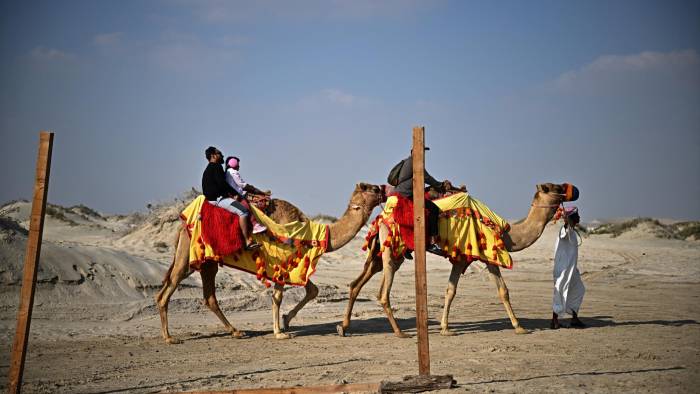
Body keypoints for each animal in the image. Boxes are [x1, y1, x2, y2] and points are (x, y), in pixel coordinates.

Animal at [156, 183, 382, 344]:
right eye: (373, 189)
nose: (383, 187)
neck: (309, 233)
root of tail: (182, 224)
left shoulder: (295, 263)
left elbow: (313, 290)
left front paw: (286, 321)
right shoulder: (282, 261)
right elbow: (278, 296)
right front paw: (279, 333)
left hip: (206, 261)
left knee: (207, 296)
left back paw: (236, 331)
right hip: (188, 254)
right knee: (171, 285)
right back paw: (169, 337)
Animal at [336, 183, 576, 338]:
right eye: (555, 188)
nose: (572, 190)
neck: (507, 233)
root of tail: (381, 216)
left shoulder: (465, 257)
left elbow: (451, 290)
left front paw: (444, 328)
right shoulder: (486, 254)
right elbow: (502, 290)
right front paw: (519, 327)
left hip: (379, 252)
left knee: (356, 283)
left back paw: (343, 327)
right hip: (393, 250)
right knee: (383, 293)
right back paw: (399, 332)